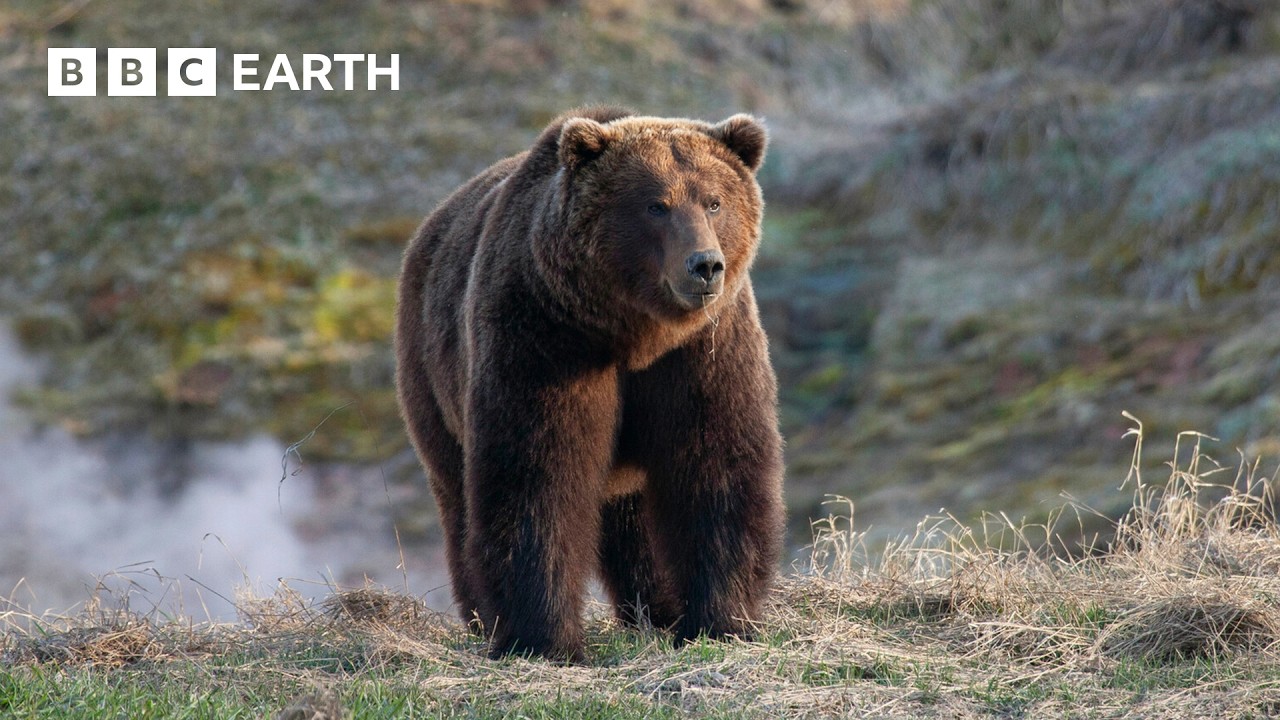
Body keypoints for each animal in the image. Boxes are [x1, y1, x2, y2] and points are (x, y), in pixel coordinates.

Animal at [394, 106, 785, 661]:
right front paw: (544, 639)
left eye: (714, 201)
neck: (636, 333)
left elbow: (716, 467)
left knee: (633, 518)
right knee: (457, 493)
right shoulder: (545, 339)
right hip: (431, 375)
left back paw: (658, 609)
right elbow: (538, 476)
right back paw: (481, 619)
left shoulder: (703, 352)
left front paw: (720, 620)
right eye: (655, 205)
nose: (705, 266)